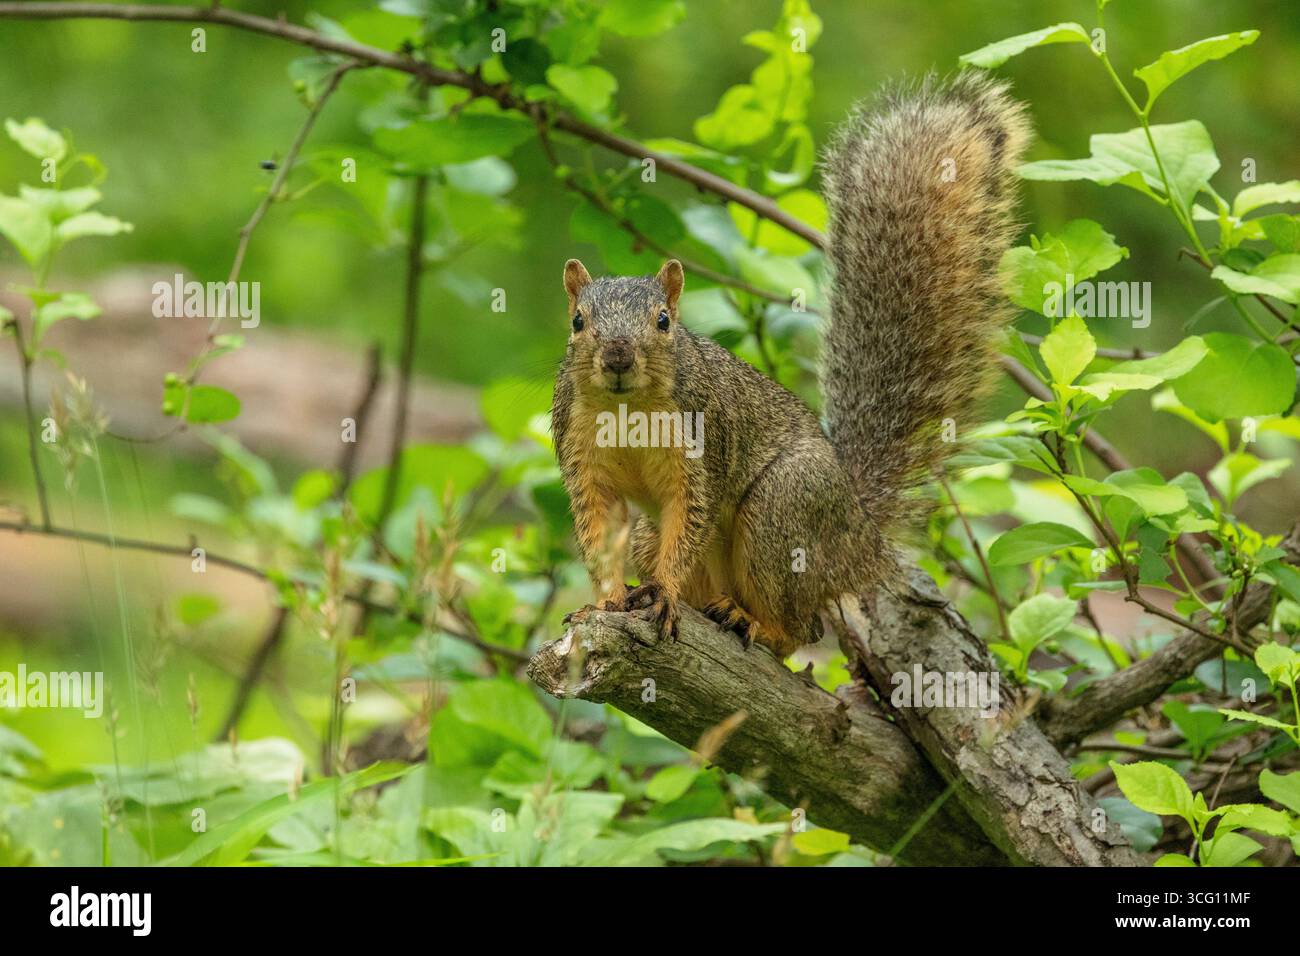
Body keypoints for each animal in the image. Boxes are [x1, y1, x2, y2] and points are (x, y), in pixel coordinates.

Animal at [551, 73, 1030, 658]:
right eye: (577, 321)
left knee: (803, 628)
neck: (626, 411)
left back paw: (754, 622)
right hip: (672, 535)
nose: (618, 356)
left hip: (784, 511)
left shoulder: (702, 450)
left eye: (664, 321)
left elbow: (689, 520)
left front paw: (661, 591)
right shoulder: (582, 458)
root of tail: (861, 534)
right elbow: (600, 532)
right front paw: (606, 602)